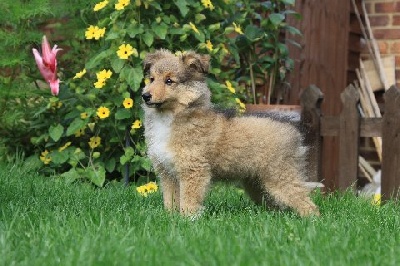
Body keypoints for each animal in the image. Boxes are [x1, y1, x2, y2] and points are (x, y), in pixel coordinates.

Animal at [142, 48, 320, 217]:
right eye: (151, 79)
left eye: (169, 81)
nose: (145, 96)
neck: (168, 117)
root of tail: (295, 132)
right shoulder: (167, 172)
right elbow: (170, 200)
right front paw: (171, 218)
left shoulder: (193, 170)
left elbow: (189, 201)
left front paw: (188, 220)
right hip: (258, 184)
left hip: (280, 176)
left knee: (308, 204)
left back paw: (312, 221)